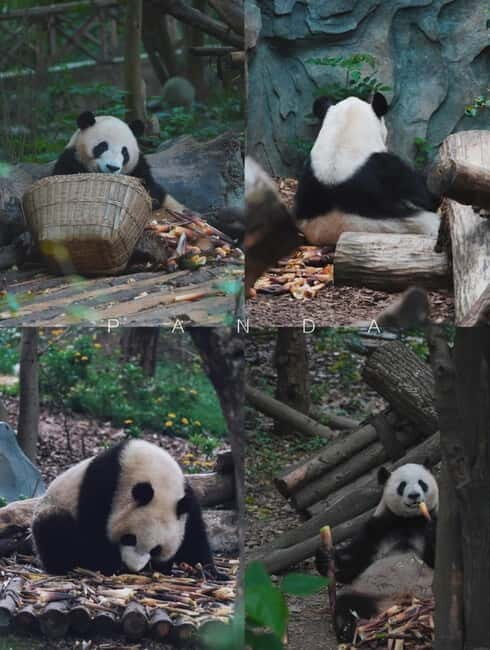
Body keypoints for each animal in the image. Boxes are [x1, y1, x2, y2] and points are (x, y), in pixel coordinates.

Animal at [32, 439, 216, 577]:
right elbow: (93, 528)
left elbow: (193, 535)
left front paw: (207, 570)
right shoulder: (104, 485)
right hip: (52, 506)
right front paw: (109, 564)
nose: (133, 567)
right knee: (54, 528)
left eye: (156, 549)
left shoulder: (185, 498)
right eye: (130, 538)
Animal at [52, 111, 182, 211]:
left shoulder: (138, 167)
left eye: (124, 152)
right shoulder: (72, 158)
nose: (112, 167)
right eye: (102, 146)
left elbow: (152, 191)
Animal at [316, 463, 438, 642]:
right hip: (371, 591)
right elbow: (355, 561)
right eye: (402, 485)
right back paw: (346, 629)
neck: (409, 521)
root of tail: (402, 602)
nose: (414, 495)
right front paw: (325, 558)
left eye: (422, 483)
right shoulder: (378, 528)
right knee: (348, 603)